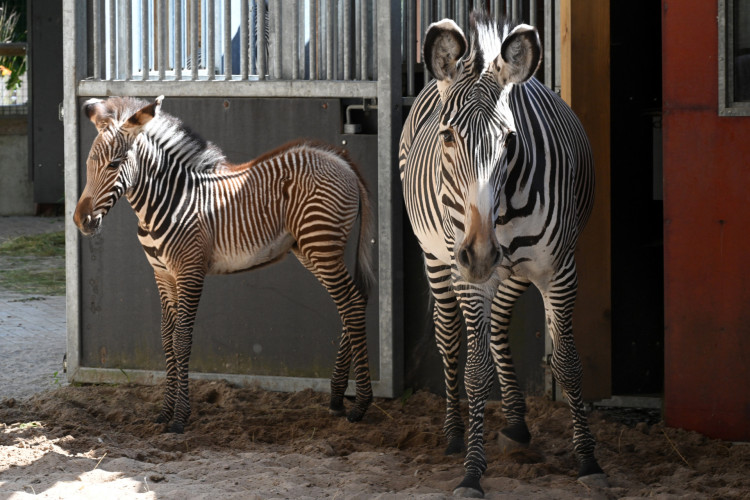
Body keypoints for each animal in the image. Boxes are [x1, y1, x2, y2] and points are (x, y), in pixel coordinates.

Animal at [74, 95, 375, 433]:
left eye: (113, 164)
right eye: (88, 164)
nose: (81, 221)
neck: (168, 201)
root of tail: (340, 159)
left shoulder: (189, 270)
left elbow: (182, 339)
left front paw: (180, 418)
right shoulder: (163, 274)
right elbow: (166, 338)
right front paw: (164, 413)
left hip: (321, 245)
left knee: (352, 304)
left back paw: (361, 404)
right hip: (311, 249)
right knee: (352, 302)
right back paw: (337, 398)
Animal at [399, 10, 604, 498]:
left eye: (510, 139)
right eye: (448, 137)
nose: (479, 253)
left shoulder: (558, 270)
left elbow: (568, 363)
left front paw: (588, 461)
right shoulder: (468, 276)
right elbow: (475, 372)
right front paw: (472, 472)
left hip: (513, 271)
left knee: (497, 329)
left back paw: (516, 424)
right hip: (436, 259)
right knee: (450, 337)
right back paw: (455, 435)